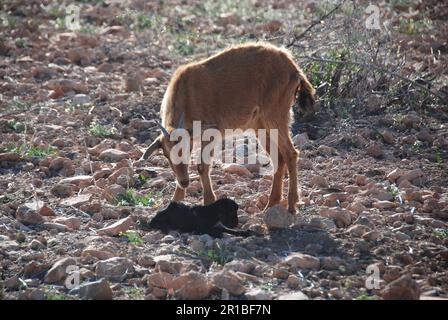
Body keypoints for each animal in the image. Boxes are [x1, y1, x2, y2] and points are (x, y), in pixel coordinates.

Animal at [143, 42, 316, 212]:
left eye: (184, 150)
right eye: (166, 154)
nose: (185, 182)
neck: (186, 95)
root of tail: (293, 67)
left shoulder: (210, 133)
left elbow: (202, 166)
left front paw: (208, 201)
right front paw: (175, 200)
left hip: (275, 116)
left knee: (290, 153)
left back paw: (292, 205)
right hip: (260, 126)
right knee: (279, 159)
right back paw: (271, 204)